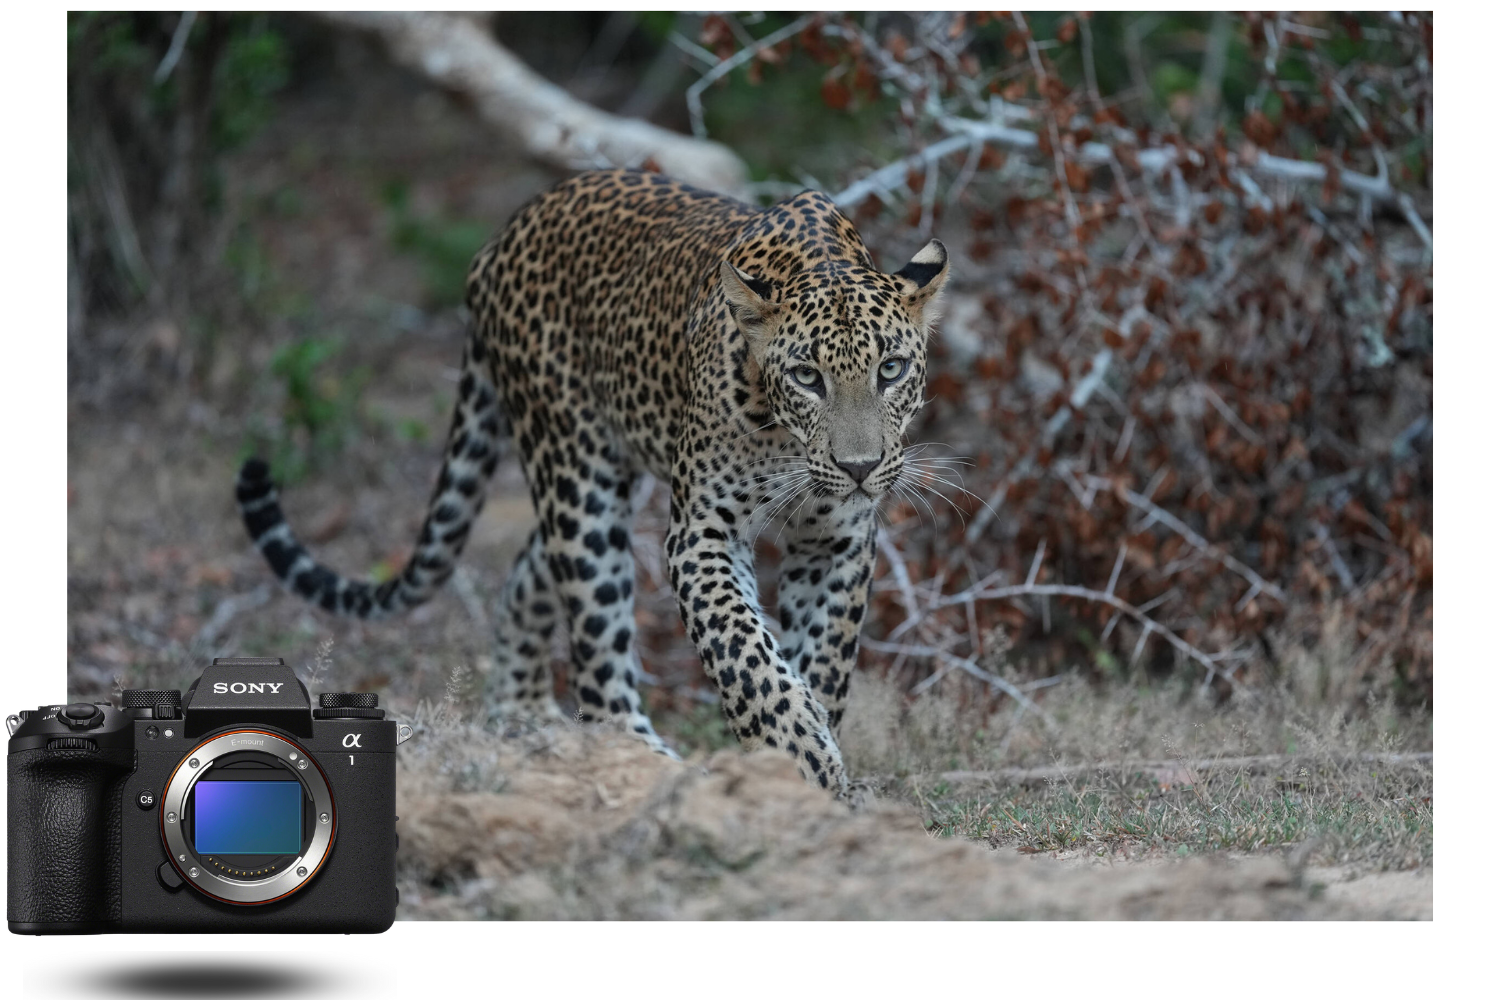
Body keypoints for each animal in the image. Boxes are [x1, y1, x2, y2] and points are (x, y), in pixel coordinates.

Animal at [235, 168, 949, 794]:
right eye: (806, 377)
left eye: (890, 369)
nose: (859, 468)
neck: (785, 440)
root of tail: (505, 233)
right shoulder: (702, 536)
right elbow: (748, 660)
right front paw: (800, 758)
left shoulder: (836, 542)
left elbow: (822, 662)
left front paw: (814, 758)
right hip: (575, 474)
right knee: (598, 658)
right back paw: (642, 765)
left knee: (529, 573)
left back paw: (521, 716)